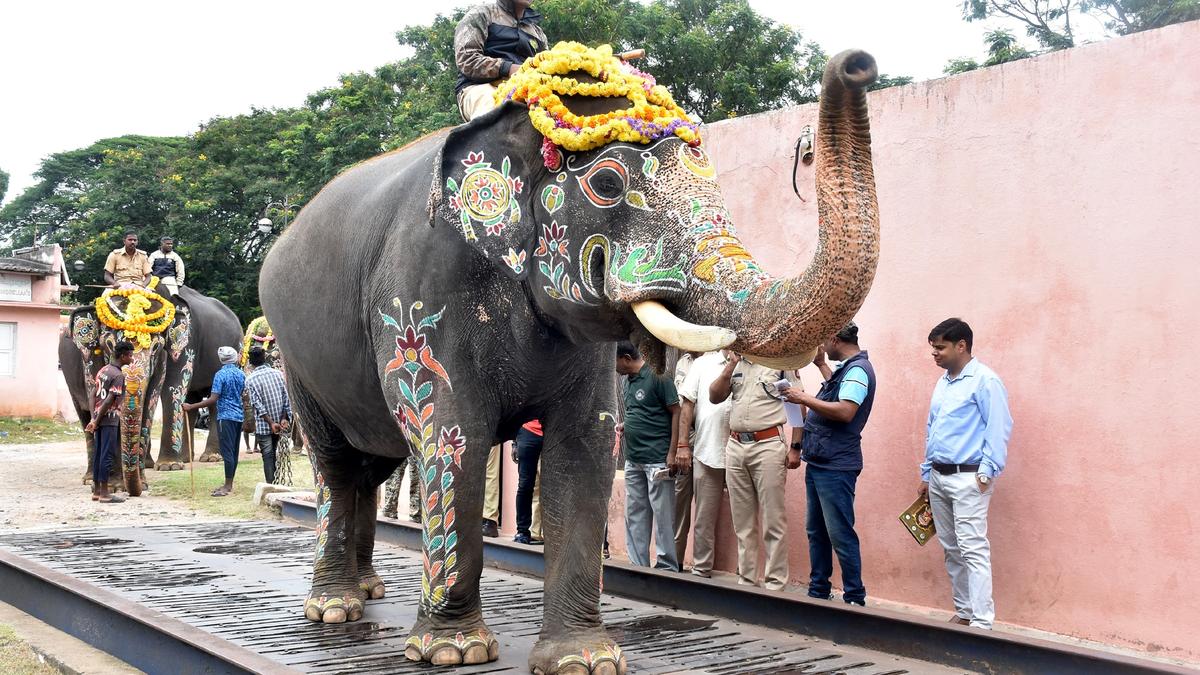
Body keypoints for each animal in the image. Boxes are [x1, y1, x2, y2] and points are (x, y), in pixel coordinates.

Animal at [62, 285, 243, 493]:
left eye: (156, 347)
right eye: (108, 345)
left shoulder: (185, 343)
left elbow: (167, 391)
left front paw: (166, 467)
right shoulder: (90, 359)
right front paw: (116, 486)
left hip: (235, 349)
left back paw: (208, 457)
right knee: (84, 415)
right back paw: (90, 479)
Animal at [260, 48, 879, 674]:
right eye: (607, 182)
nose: (857, 64)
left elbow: (584, 446)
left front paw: (587, 660)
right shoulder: (419, 294)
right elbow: (454, 438)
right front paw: (454, 651)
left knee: (374, 460)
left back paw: (368, 589)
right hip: (297, 360)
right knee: (338, 463)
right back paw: (335, 608)